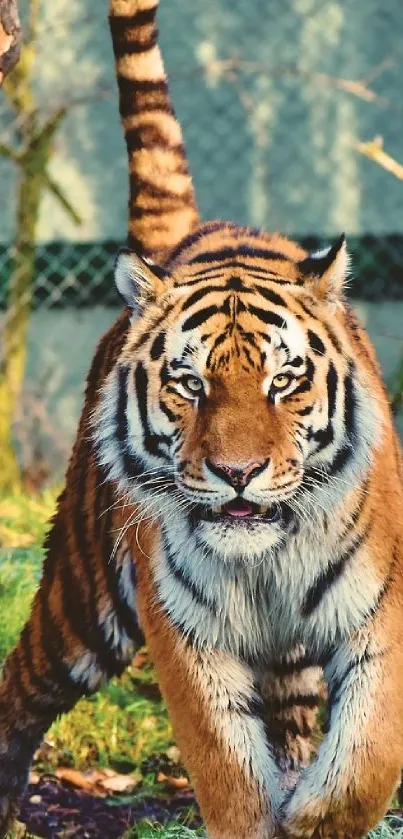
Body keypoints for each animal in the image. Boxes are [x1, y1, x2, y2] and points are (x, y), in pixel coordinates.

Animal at [0, 1, 403, 839]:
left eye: (284, 380)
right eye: (189, 383)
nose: (237, 473)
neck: (267, 560)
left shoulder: (379, 613)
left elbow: (365, 758)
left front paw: (311, 814)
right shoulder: (186, 634)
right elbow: (228, 769)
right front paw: (262, 813)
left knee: (292, 721)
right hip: (85, 593)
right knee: (22, 680)